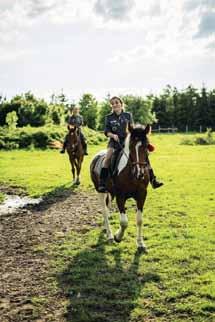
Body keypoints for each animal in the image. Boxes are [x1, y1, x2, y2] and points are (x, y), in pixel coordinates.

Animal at [90, 124, 151, 253]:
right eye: (131, 147)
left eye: (146, 146)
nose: (140, 173)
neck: (131, 174)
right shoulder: (120, 196)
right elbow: (124, 222)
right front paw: (118, 236)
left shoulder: (142, 194)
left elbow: (139, 220)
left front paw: (140, 244)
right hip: (100, 191)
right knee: (104, 211)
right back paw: (109, 235)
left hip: (110, 193)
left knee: (107, 209)